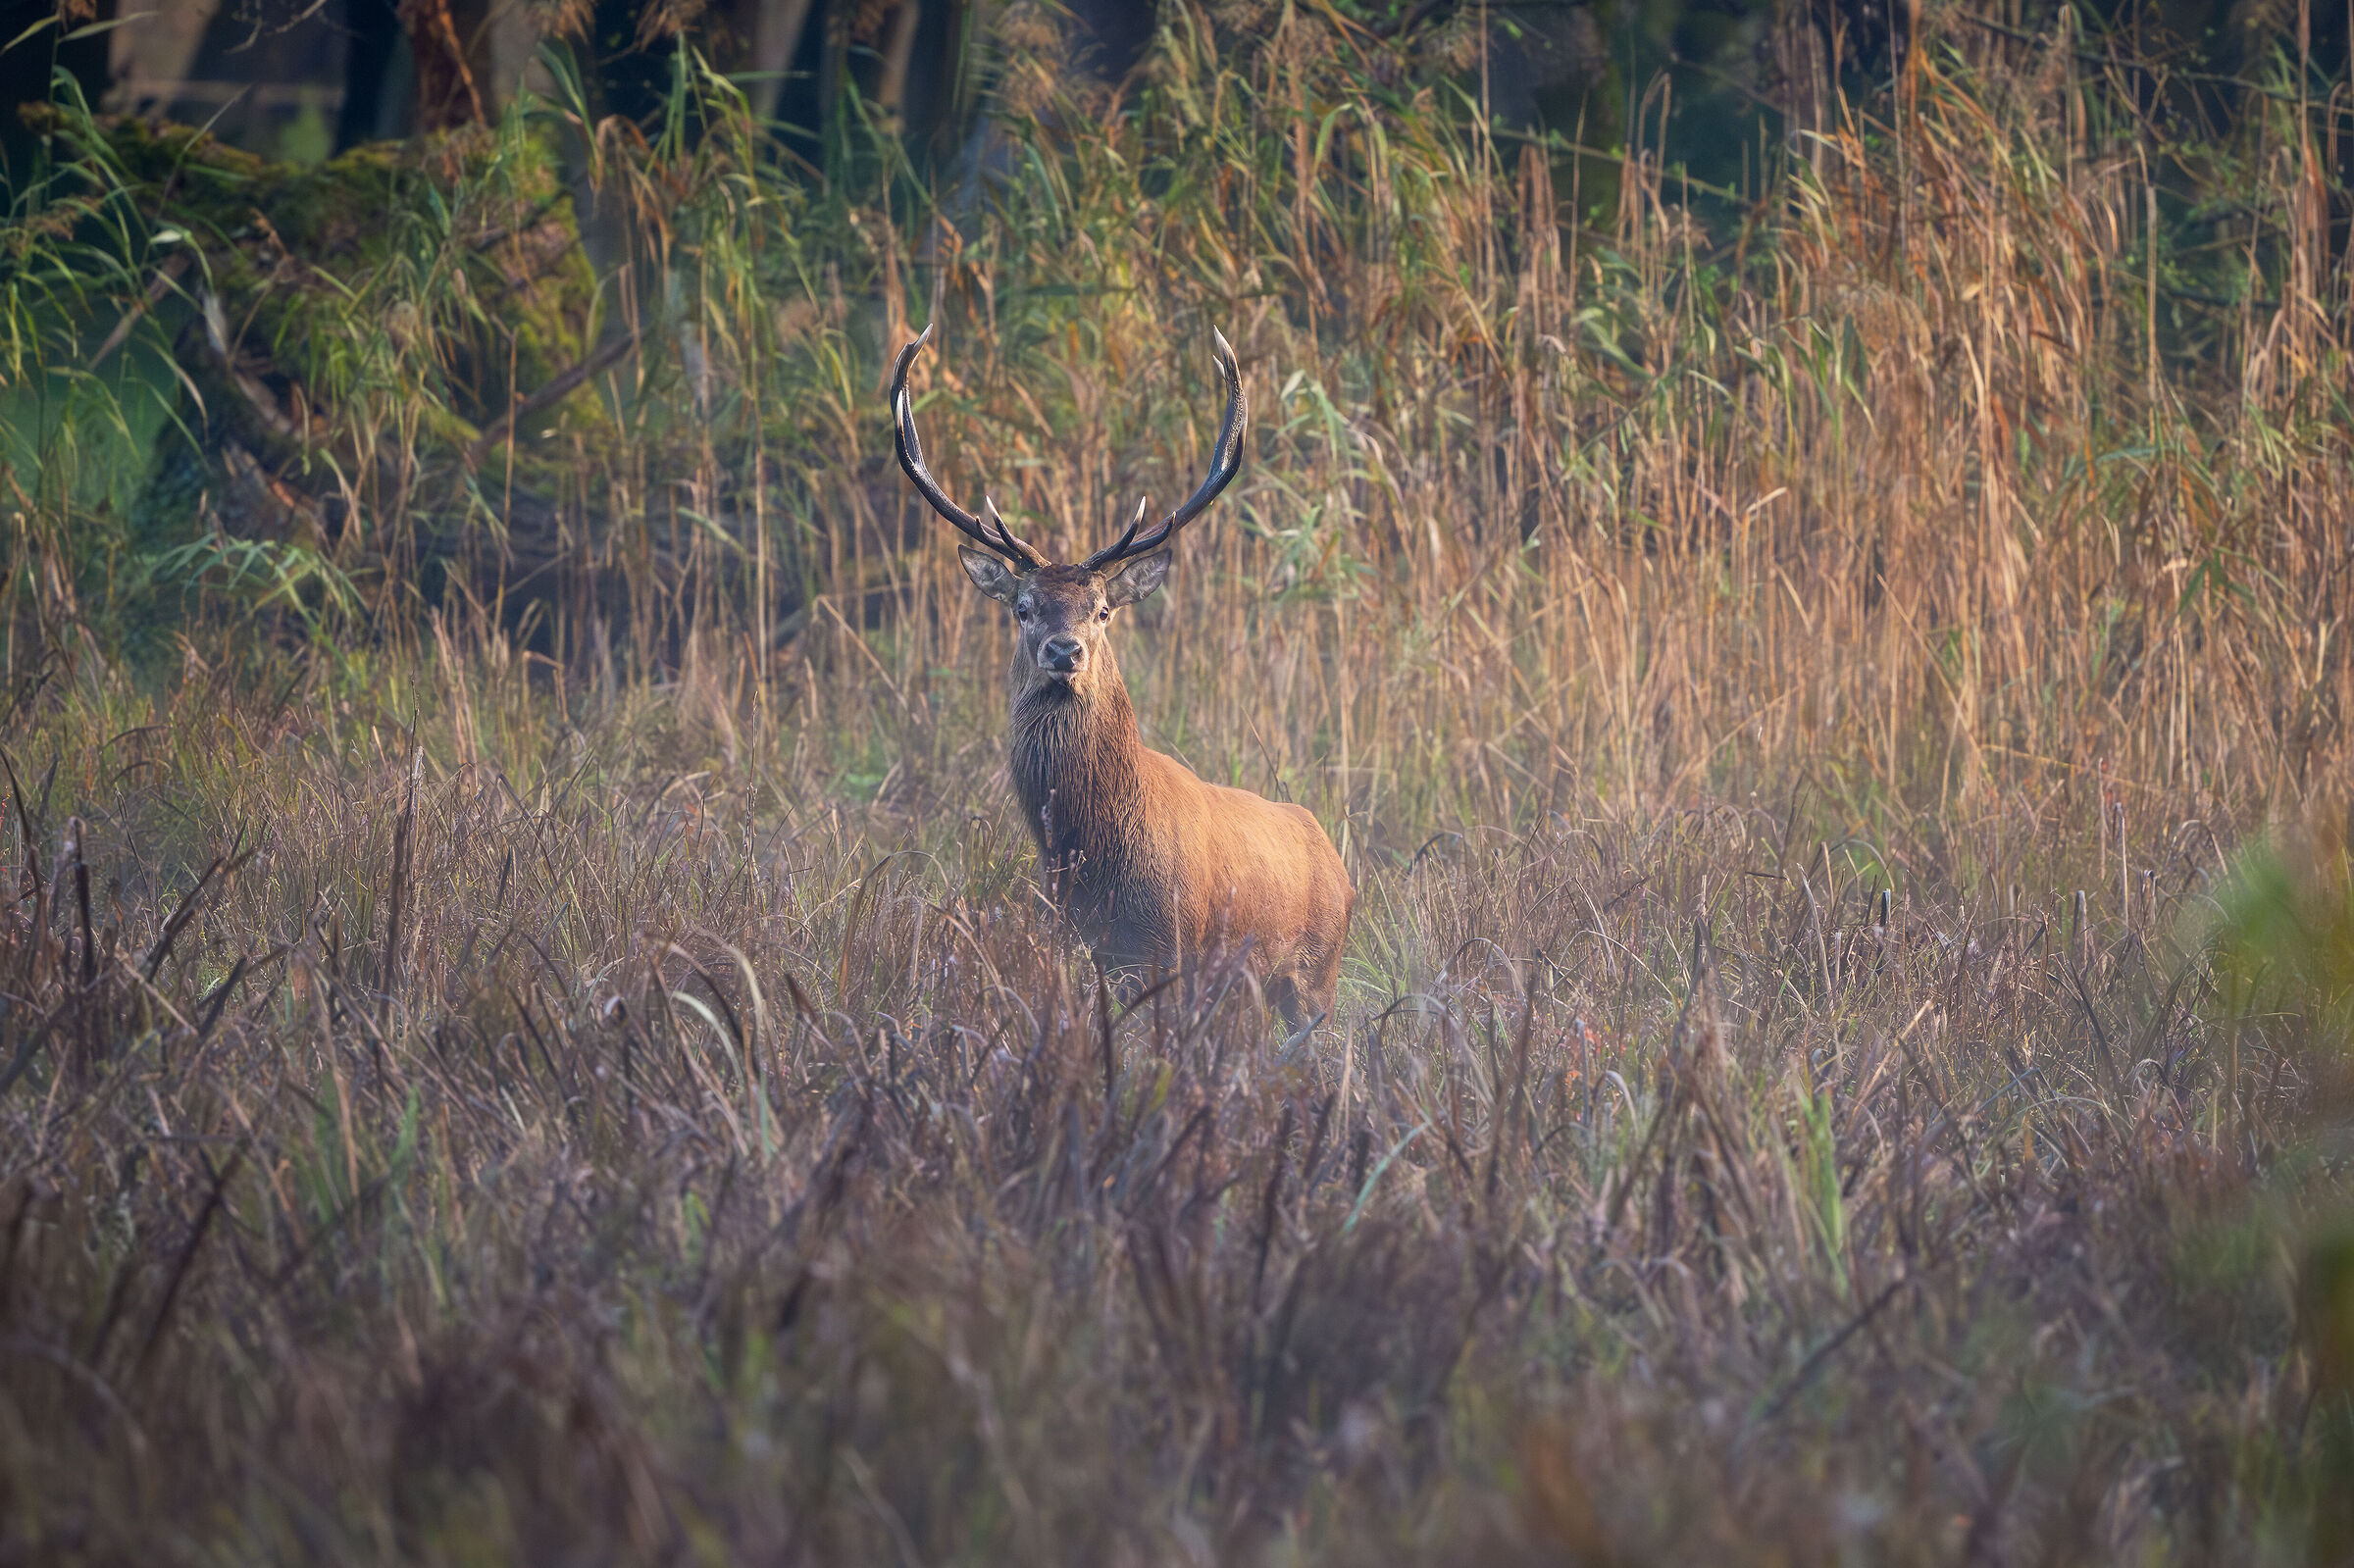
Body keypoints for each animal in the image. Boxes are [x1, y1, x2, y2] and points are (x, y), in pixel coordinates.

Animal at [890, 325, 1354, 1034]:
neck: (1097, 859)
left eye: (1103, 609)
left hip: (1316, 975)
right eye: (1023, 607)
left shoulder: (1175, 946)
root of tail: (1337, 861)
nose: (1065, 650)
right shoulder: (1086, 942)